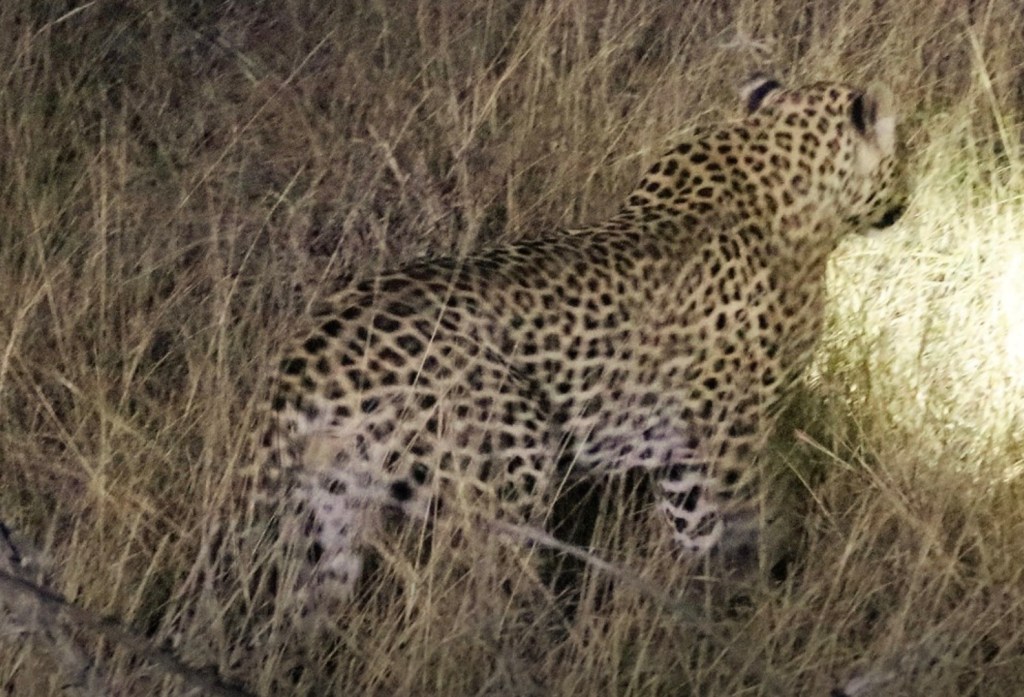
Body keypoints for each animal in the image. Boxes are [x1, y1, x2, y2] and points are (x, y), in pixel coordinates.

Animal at [252, 75, 909, 611]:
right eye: (900, 153)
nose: (906, 197)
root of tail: (306, 354)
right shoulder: (732, 430)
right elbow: (740, 527)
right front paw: (747, 609)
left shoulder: (683, 445)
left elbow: (696, 528)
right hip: (508, 465)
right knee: (482, 595)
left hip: (328, 511)